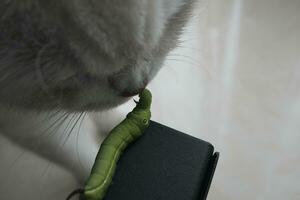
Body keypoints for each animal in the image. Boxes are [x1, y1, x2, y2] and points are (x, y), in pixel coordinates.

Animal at [0, 0, 199, 199]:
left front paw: (113, 120)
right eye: (74, 75)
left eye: (169, 26)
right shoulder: (23, 120)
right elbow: (71, 150)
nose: (137, 89)